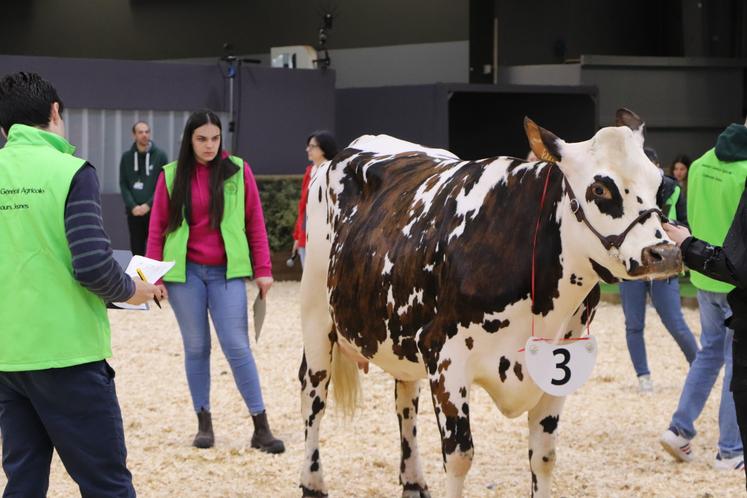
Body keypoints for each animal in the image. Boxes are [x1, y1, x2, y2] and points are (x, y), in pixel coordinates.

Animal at [298, 110, 684, 498]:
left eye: (661, 185)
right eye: (600, 189)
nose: (664, 253)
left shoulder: (559, 367)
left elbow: (544, 456)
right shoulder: (445, 358)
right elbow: (459, 457)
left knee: (405, 400)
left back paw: (413, 480)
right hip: (316, 316)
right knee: (313, 398)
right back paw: (312, 482)